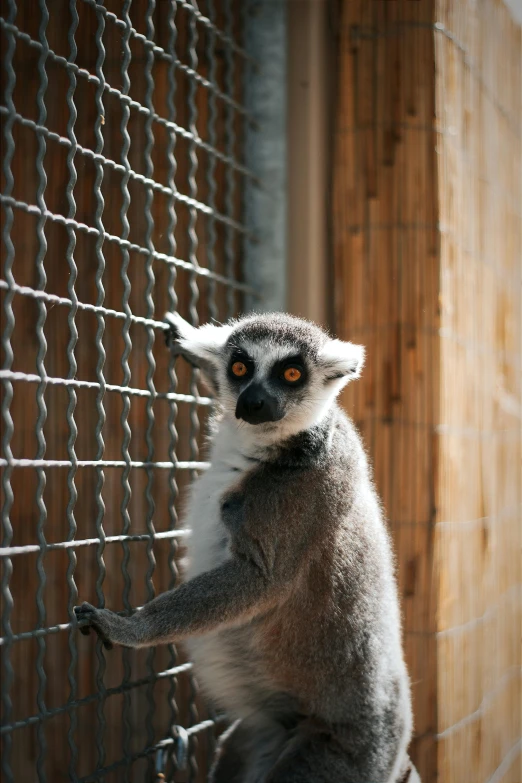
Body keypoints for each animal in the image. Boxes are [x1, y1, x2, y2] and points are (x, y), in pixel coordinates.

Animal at [75, 312, 418, 783]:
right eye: (239, 368)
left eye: (291, 374)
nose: (253, 403)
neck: (268, 446)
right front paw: (188, 341)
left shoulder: (302, 493)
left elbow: (261, 580)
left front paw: (130, 628)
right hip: (265, 734)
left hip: (343, 754)